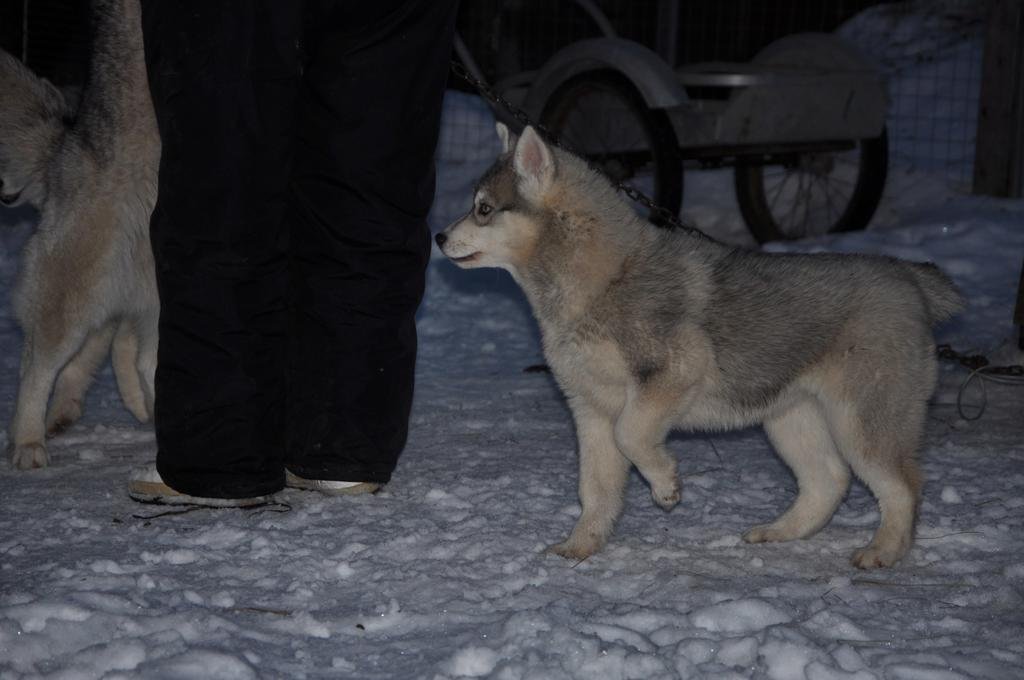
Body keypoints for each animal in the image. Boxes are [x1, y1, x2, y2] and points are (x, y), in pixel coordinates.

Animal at [436, 123, 962, 569]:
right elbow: (596, 488)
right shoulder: (589, 409)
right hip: (790, 417)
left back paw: (884, 551)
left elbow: (633, 435)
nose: (438, 236)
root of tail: (908, 277)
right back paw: (780, 532)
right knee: (828, 481)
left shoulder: (669, 374)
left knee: (902, 486)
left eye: (483, 209)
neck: (603, 283)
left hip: (863, 423)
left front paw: (666, 486)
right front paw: (581, 546)